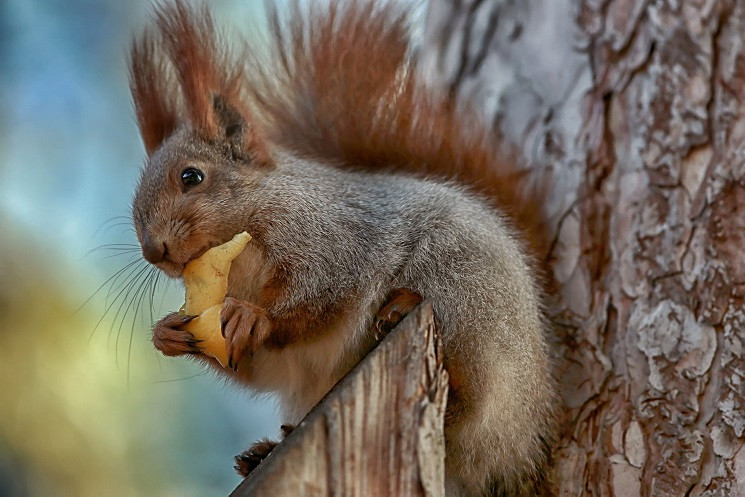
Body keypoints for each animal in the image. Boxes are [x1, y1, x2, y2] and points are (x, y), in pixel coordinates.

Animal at [129, 0, 560, 496]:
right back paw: (265, 451)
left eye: (192, 176)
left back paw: (403, 316)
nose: (153, 251)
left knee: (469, 407)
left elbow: (322, 297)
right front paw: (167, 333)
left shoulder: (333, 241)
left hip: (466, 297)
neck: (242, 263)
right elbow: (261, 365)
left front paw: (255, 316)